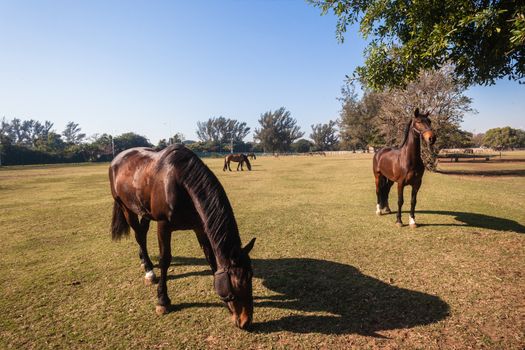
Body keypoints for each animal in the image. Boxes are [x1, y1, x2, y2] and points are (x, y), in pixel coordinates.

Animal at [109, 144, 256, 330]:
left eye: (251, 277)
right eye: (236, 283)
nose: (246, 320)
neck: (178, 182)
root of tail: (117, 159)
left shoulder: (200, 227)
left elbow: (210, 258)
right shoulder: (163, 226)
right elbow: (165, 259)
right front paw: (162, 300)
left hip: (145, 211)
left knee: (142, 232)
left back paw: (144, 261)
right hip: (126, 208)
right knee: (139, 237)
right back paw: (149, 270)